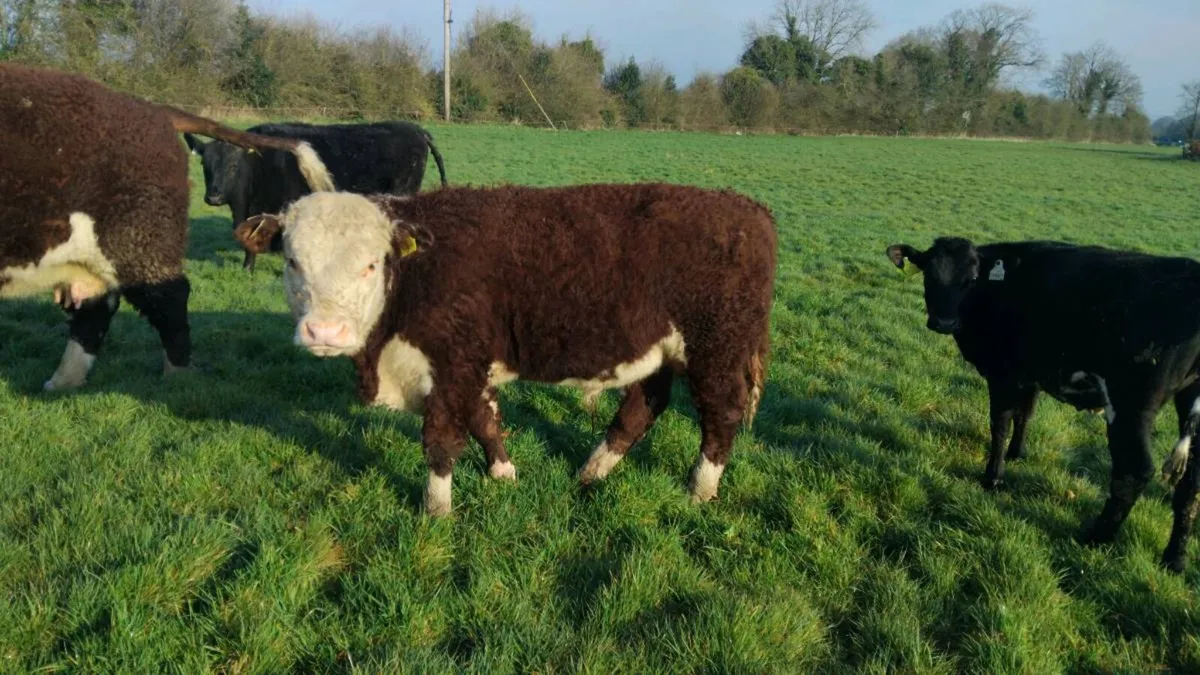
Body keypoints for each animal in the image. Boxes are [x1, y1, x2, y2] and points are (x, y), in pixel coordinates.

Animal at [233, 183, 777, 516]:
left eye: (371, 264)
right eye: (292, 261)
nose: (325, 332)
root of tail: (749, 209)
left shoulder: (453, 362)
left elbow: (441, 440)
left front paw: (437, 511)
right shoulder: (470, 363)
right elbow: (485, 420)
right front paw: (504, 473)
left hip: (716, 349)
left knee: (721, 414)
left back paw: (699, 490)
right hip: (661, 350)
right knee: (644, 406)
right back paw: (590, 472)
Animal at [887, 236, 1200, 573]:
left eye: (969, 281)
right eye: (929, 276)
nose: (943, 322)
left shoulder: (1002, 374)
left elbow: (1000, 423)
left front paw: (993, 477)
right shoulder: (1030, 374)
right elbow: (1026, 414)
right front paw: (1017, 454)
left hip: (1131, 405)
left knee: (1135, 471)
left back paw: (1096, 538)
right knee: (1190, 485)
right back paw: (1175, 558)